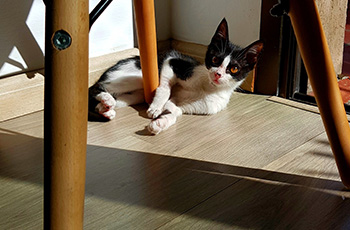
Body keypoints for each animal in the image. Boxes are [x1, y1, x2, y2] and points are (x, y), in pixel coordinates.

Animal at [89, 18, 264, 135]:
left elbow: (174, 112)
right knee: (94, 87)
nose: (218, 74)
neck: (207, 87)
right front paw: (156, 106)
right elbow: (165, 87)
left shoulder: (187, 106)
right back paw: (106, 99)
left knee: (113, 99)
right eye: (215, 60)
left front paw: (161, 123)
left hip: (135, 94)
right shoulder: (173, 61)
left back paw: (105, 108)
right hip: (136, 76)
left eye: (234, 69)